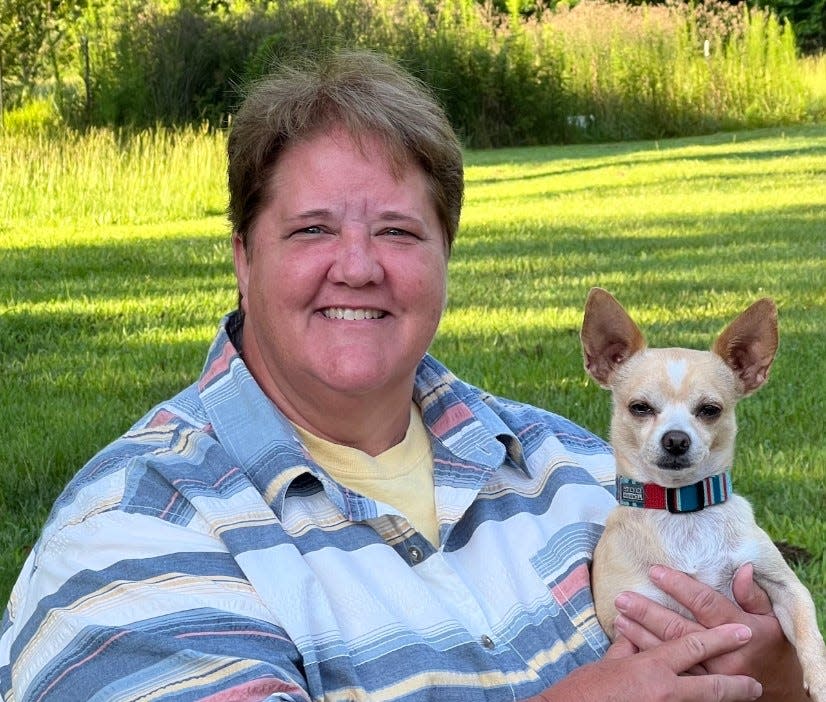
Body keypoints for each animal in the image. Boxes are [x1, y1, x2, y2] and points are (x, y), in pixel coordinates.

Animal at [580, 288, 824, 700]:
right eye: (640, 408)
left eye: (710, 410)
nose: (676, 439)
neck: (685, 508)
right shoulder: (629, 619)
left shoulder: (783, 584)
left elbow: (809, 627)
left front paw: (820, 680)